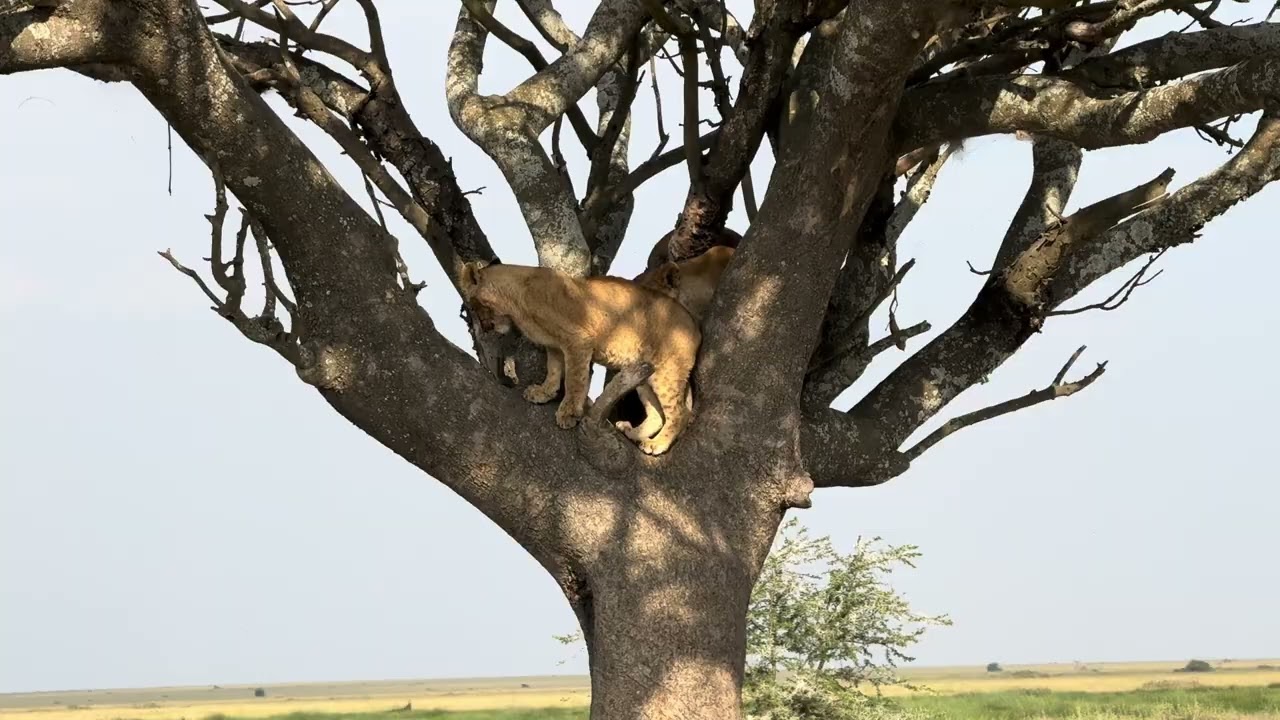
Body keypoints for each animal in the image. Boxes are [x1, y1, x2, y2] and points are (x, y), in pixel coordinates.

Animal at [458, 261, 701, 456]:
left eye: (471, 304)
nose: (484, 327)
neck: (515, 301)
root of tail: (694, 325)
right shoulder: (554, 346)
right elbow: (553, 371)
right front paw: (543, 393)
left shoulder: (577, 340)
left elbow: (574, 380)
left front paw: (568, 413)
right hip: (645, 375)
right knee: (657, 414)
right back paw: (633, 433)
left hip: (666, 373)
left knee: (679, 413)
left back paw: (656, 444)